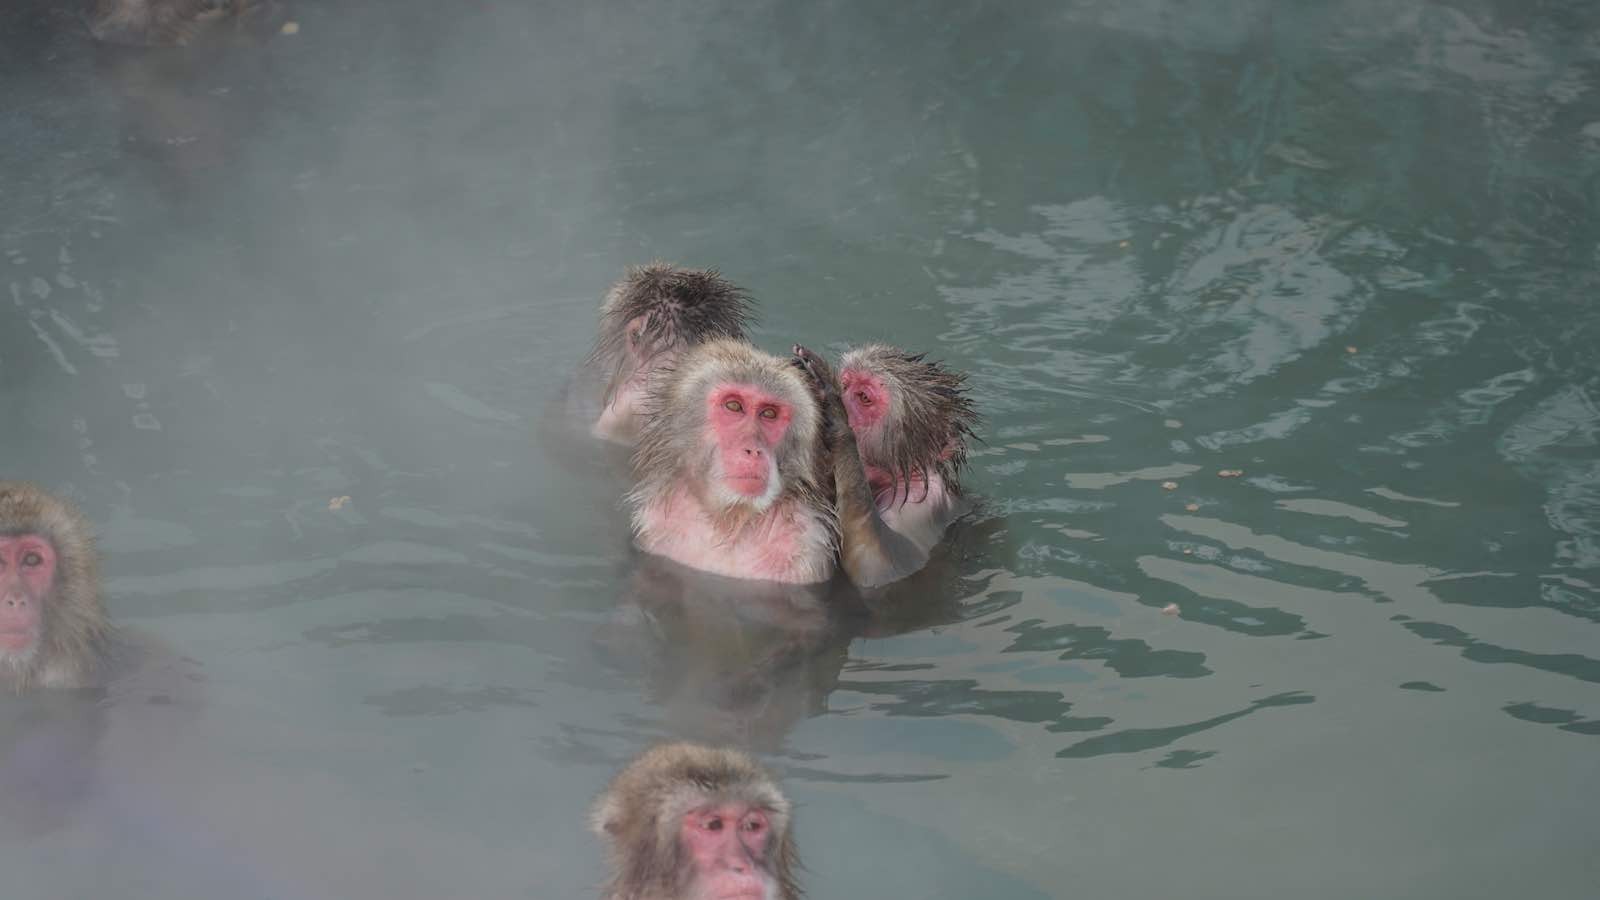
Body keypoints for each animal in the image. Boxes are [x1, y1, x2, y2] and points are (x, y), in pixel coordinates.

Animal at [624, 336, 832, 582]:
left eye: (769, 413)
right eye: (734, 406)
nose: (753, 450)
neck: (729, 523)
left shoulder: (808, 550)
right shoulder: (654, 529)